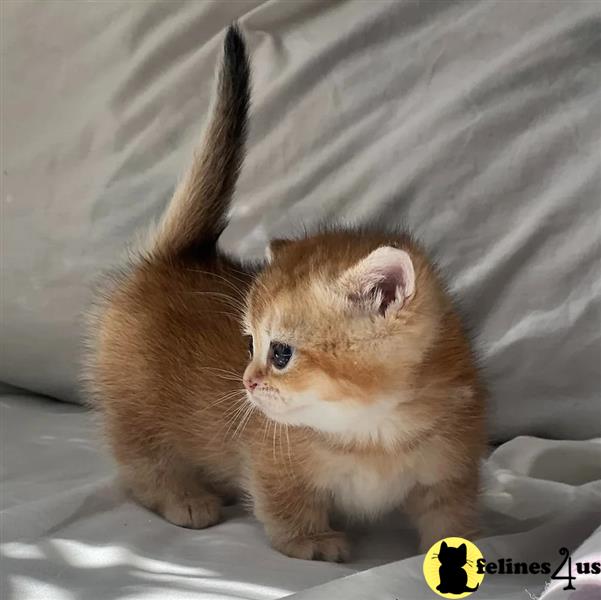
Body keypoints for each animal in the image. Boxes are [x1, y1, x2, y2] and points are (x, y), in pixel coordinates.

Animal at [86, 25, 486, 564]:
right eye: (248, 344)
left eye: (279, 353)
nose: (247, 382)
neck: (372, 434)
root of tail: (178, 255)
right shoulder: (273, 465)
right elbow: (286, 506)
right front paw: (311, 540)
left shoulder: (451, 468)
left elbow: (450, 515)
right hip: (139, 412)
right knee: (142, 466)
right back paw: (185, 497)